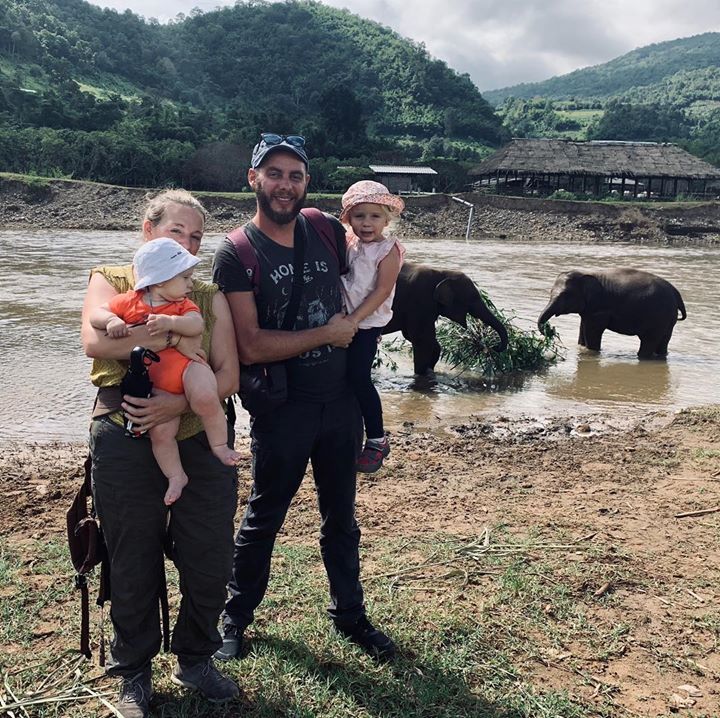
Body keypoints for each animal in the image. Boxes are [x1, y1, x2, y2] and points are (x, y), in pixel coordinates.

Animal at [540, 268, 688, 360]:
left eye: (564, 295)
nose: (548, 331)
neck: (585, 272)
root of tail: (677, 294)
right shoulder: (589, 310)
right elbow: (583, 328)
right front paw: (582, 349)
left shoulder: (599, 309)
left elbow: (592, 331)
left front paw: (592, 354)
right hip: (668, 319)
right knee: (664, 341)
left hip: (659, 317)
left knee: (649, 340)